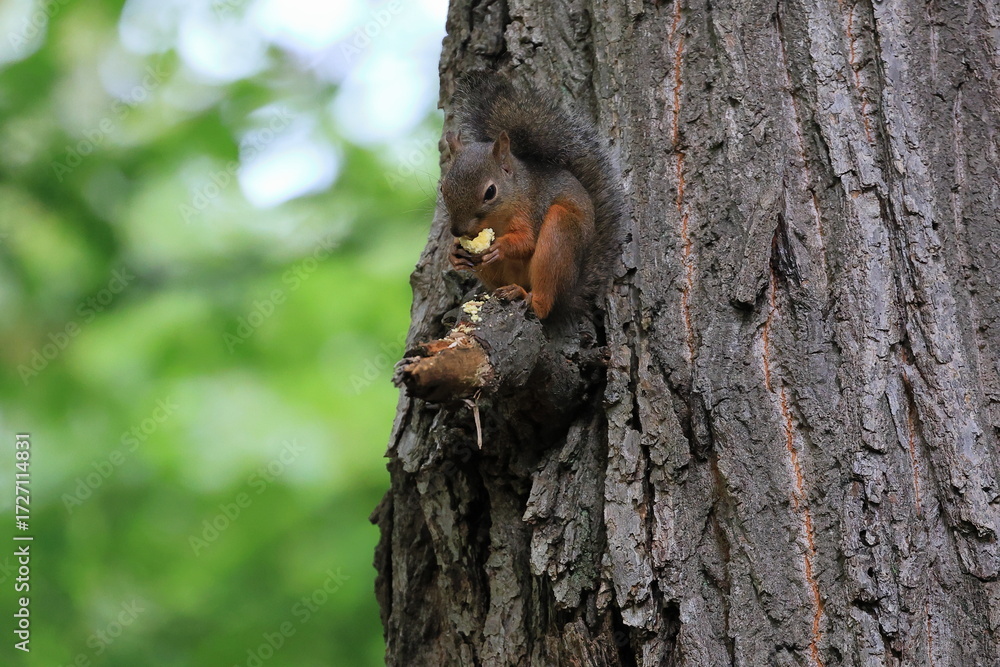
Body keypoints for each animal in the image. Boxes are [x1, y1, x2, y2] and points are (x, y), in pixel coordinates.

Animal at [440, 72, 623, 323]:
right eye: (442, 188)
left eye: (490, 192)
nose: (457, 231)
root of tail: (571, 292)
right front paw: (454, 252)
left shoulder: (533, 207)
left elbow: (527, 241)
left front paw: (499, 246)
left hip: (559, 236)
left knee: (543, 302)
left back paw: (526, 296)